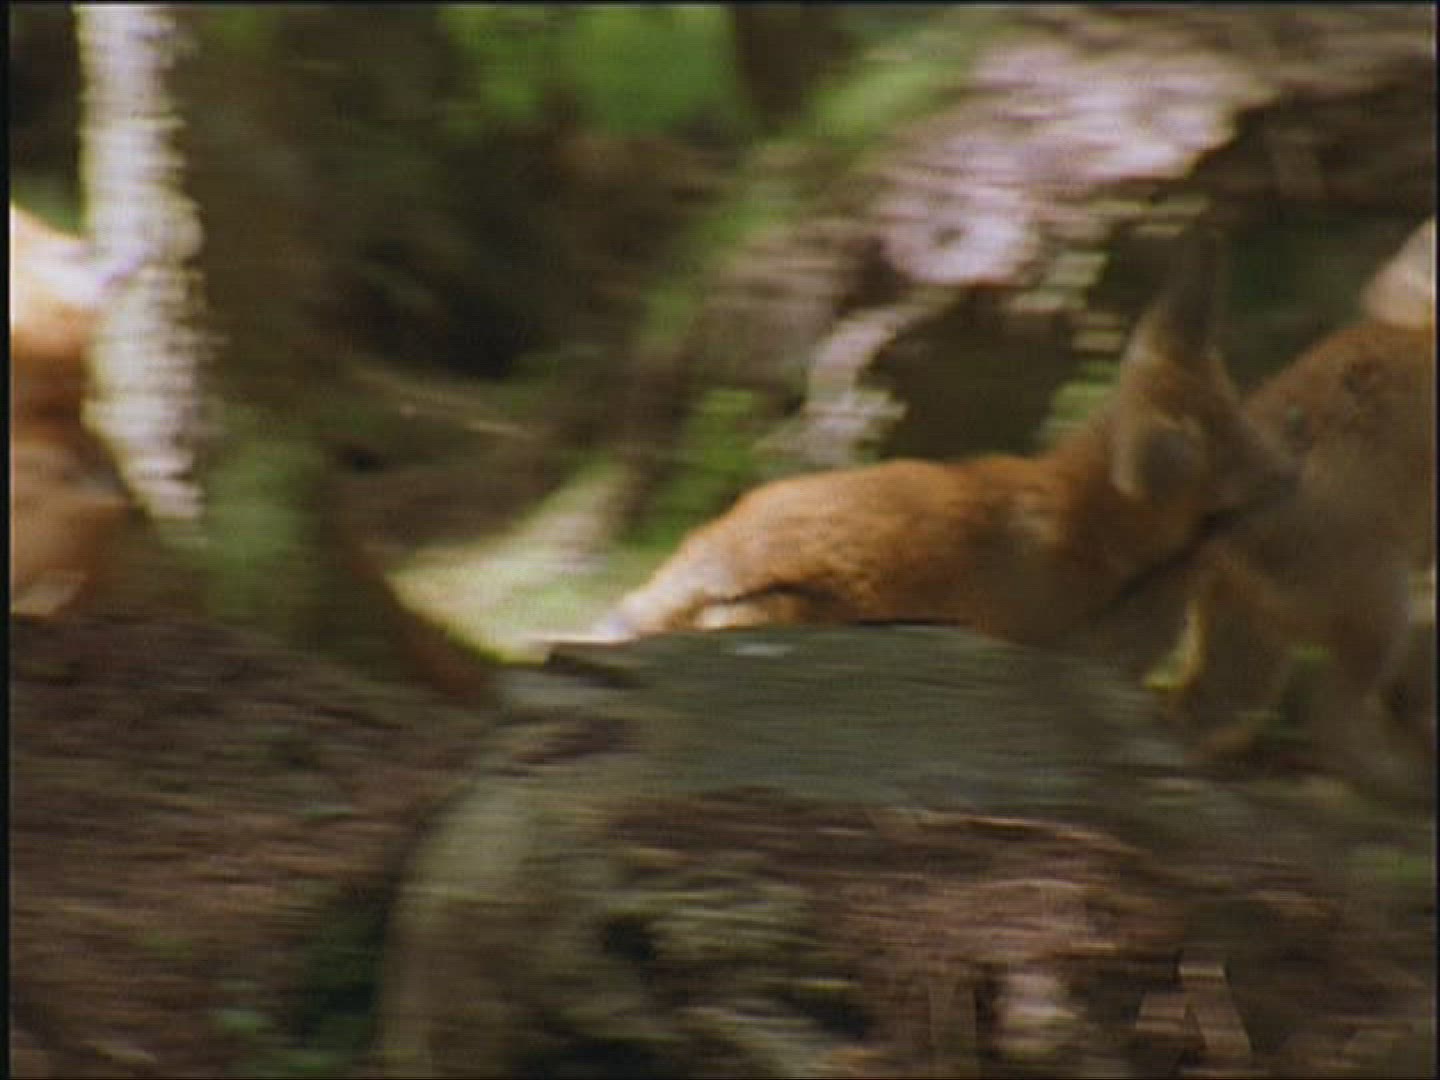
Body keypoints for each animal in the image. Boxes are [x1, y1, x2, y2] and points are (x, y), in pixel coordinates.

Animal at [593, 227, 1296, 661]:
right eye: (1232, 457)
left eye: (1241, 418)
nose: (1289, 473)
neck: (1078, 511)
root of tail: (710, 559)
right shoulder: (1056, 634)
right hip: (797, 609)